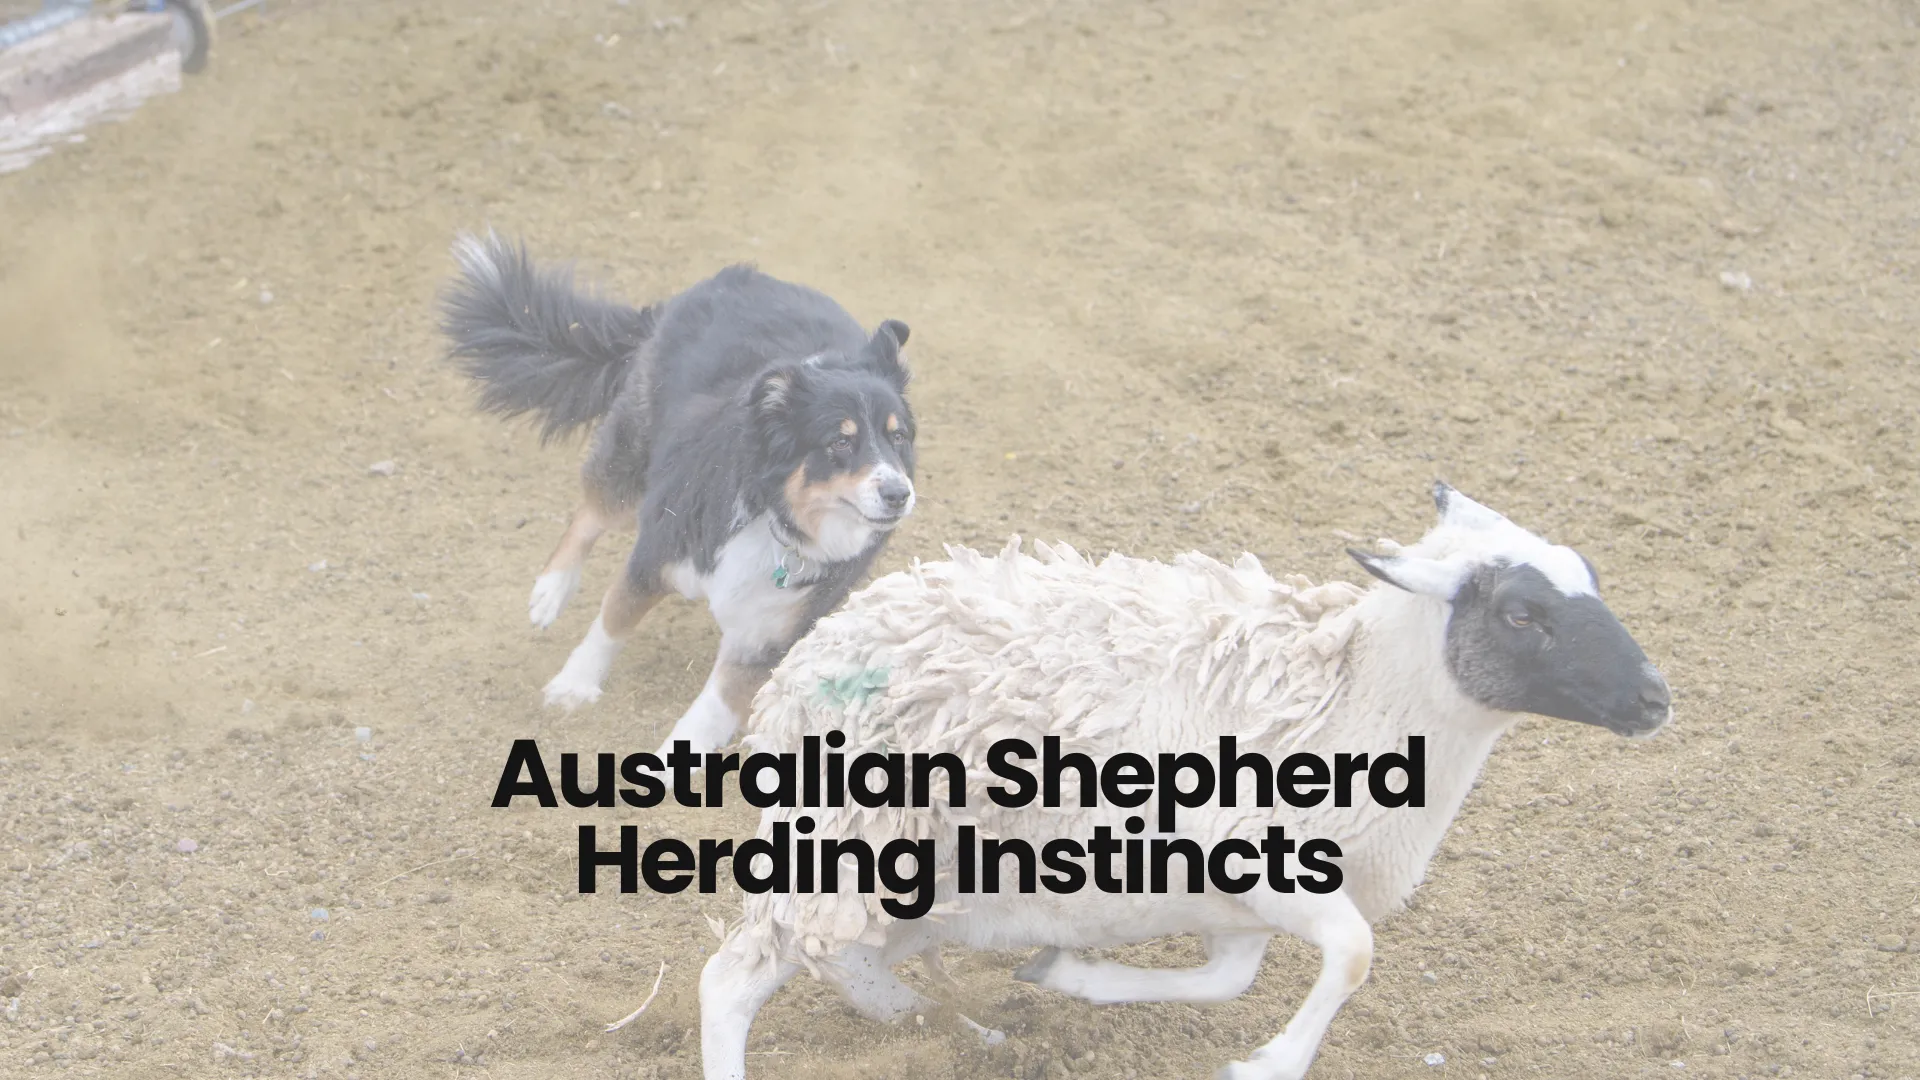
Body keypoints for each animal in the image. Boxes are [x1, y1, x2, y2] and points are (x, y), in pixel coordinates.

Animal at [439, 233, 917, 757]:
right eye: (840, 442)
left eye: (897, 437)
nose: (899, 494)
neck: (775, 519)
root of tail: (738, 277)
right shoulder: (654, 558)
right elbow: (612, 620)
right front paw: (574, 685)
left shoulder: (765, 637)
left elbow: (710, 714)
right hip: (631, 457)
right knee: (591, 513)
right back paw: (551, 589)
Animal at [698, 486, 1674, 1076]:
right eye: (1522, 613)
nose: (1656, 698)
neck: (1348, 699)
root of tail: (803, 666)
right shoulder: (1263, 868)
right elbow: (1354, 953)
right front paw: (1268, 1064)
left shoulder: (1236, 909)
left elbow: (1226, 982)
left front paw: (1069, 977)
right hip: (848, 846)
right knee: (731, 981)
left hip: (918, 887)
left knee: (848, 968)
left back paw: (962, 1029)